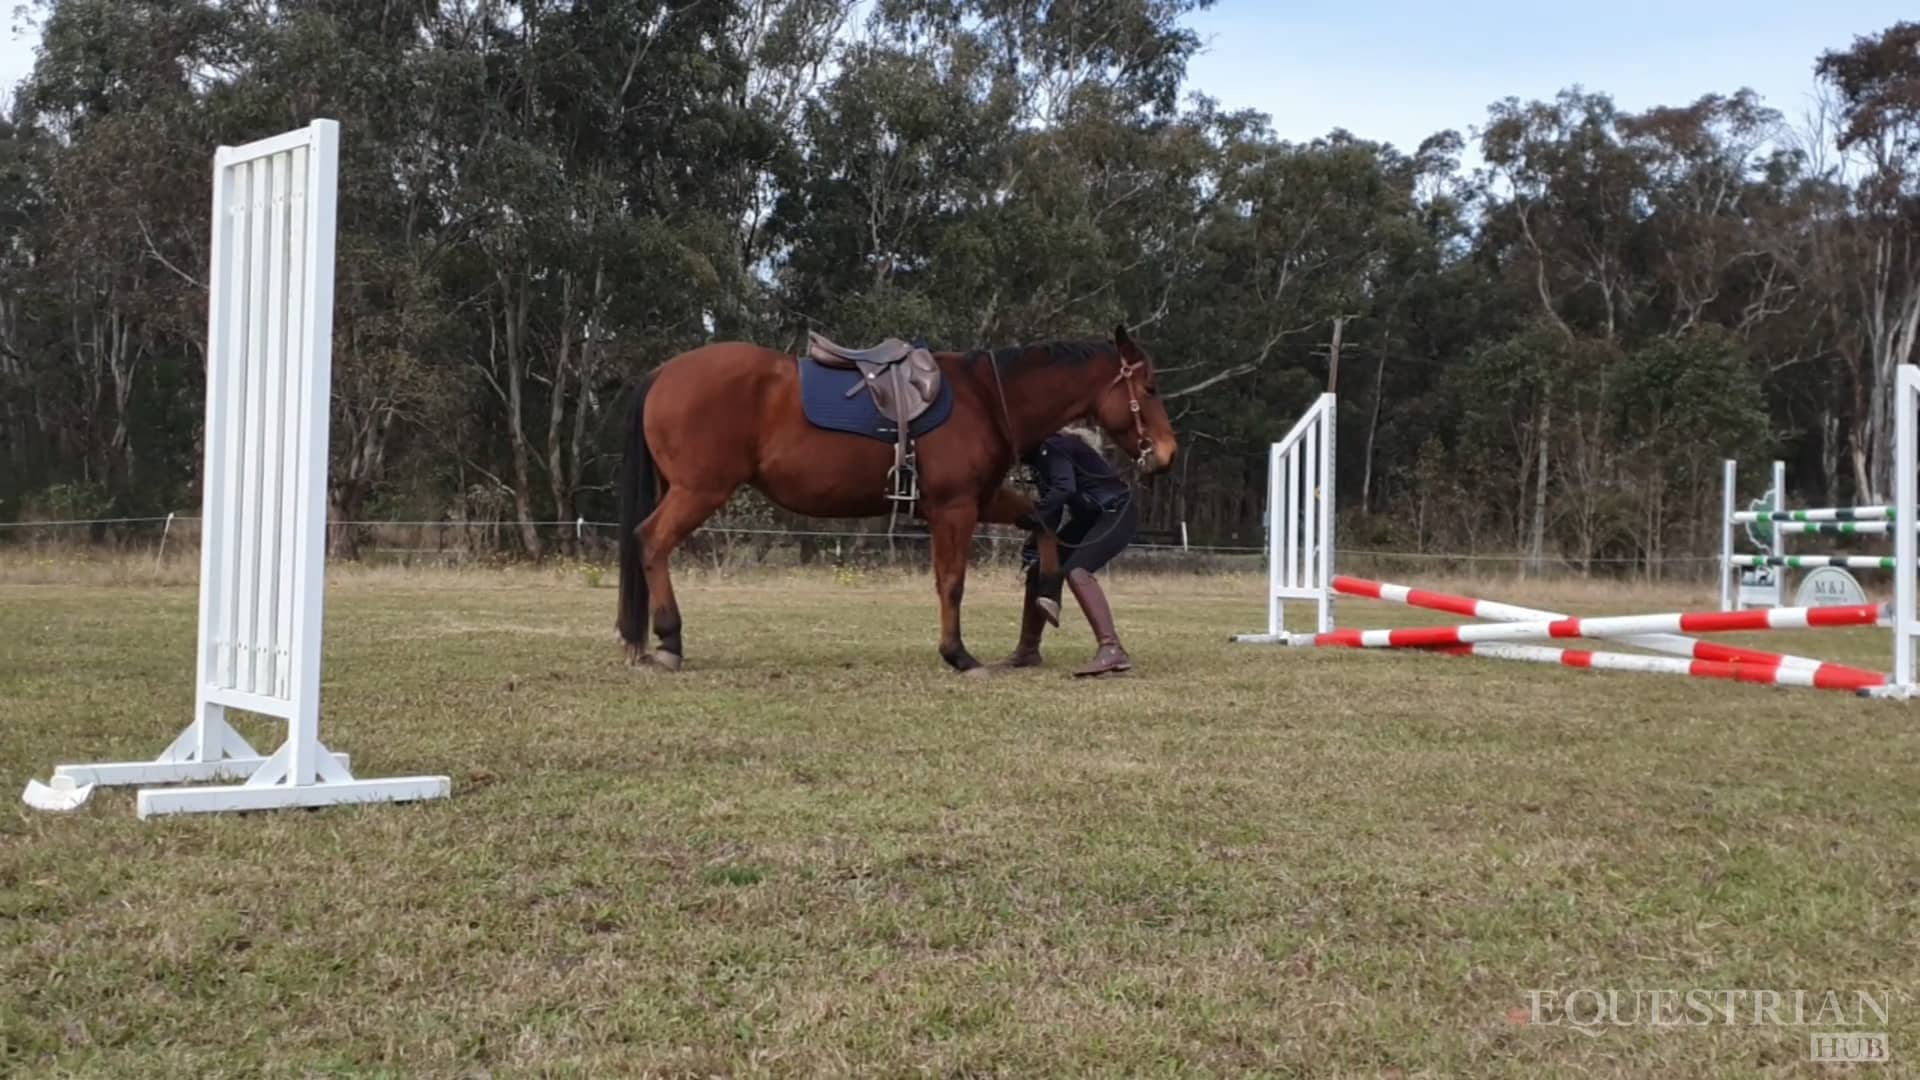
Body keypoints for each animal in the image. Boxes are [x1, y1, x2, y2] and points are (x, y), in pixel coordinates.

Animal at [616, 323, 1179, 672]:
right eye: (1150, 387)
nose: (1167, 453)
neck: (984, 399)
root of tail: (664, 372)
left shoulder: (980, 499)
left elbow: (1040, 526)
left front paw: (1046, 593)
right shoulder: (955, 508)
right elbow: (951, 583)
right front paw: (958, 654)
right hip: (700, 491)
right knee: (652, 542)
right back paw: (669, 640)